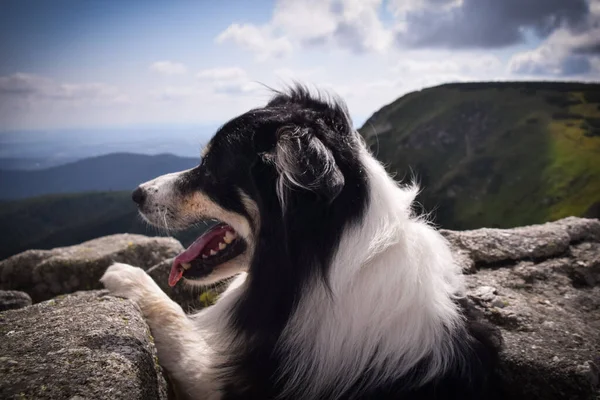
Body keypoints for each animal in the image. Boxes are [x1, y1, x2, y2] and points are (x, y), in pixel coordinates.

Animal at [99, 87, 502, 400]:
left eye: (211, 170)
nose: (137, 194)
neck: (326, 262)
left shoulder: (228, 379)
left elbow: (177, 325)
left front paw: (126, 275)